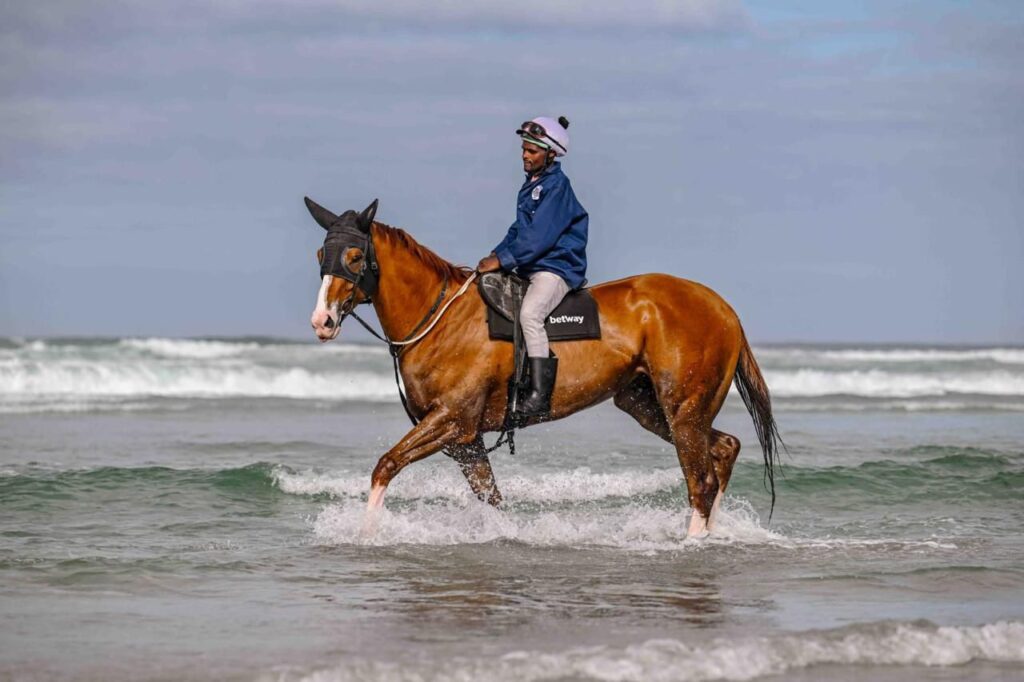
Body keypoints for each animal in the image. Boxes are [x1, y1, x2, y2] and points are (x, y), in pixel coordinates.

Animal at [306, 198, 782, 537]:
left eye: (354, 256)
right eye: (320, 254)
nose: (322, 321)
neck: (439, 317)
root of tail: (722, 308)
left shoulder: (453, 422)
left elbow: (385, 465)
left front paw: (366, 534)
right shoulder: (467, 442)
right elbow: (492, 499)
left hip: (682, 411)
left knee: (700, 482)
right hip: (652, 408)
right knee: (724, 449)